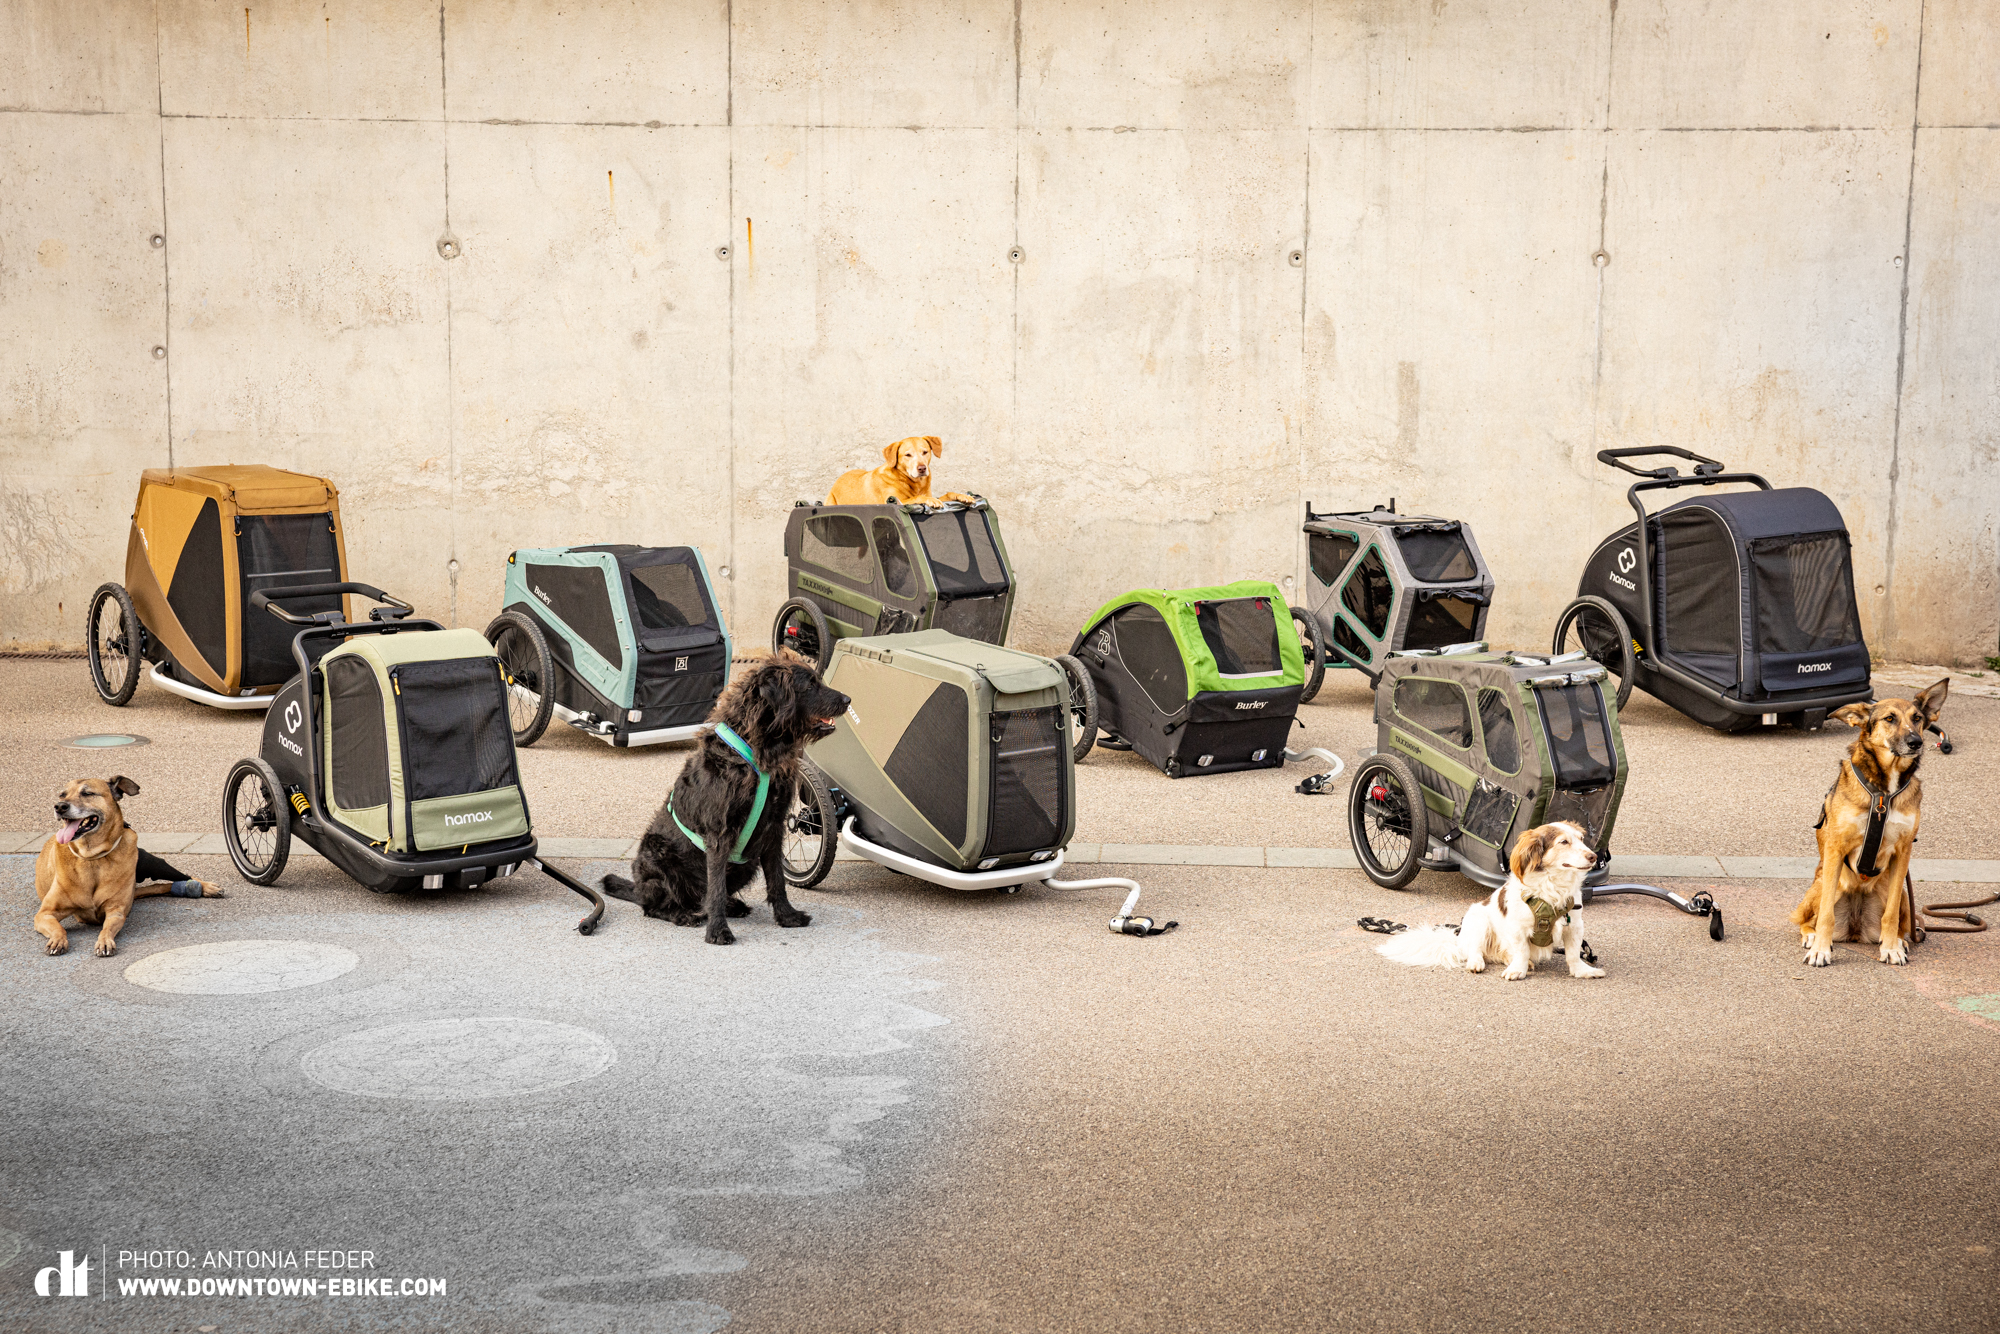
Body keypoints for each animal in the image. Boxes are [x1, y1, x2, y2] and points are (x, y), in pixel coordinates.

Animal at [34, 776, 223, 956]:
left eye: (87, 793)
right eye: (62, 795)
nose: (59, 806)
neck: (92, 858)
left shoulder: (116, 911)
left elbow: (107, 928)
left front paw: (105, 941)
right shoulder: (44, 914)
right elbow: (59, 928)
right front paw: (58, 940)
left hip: (154, 864)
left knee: (186, 877)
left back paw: (206, 887)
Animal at [592, 652, 844, 944]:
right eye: (810, 685)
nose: (848, 700)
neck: (757, 751)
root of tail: (638, 888)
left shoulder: (774, 827)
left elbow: (777, 880)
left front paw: (786, 916)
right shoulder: (719, 833)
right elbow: (716, 889)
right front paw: (718, 930)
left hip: (746, 864)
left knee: (703, 896)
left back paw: (731, 906)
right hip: (658, 856)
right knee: (657, 906)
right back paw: (682, 914)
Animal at [824, 436, 980, 508]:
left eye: (925, 452)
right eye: (907, 455)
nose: (922, 468)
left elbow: (947, 494)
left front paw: (963, 496)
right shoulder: (895, 501)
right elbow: (916, 498)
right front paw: (930, 500)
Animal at [1792, 684, 1944, 964]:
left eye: (1917, 718)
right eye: (1890, 718)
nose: (1915, 743)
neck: (1884, 791)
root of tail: (1855, 930)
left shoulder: (1903, 852)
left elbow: (1891, 915)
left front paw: (1891, 948)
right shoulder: (1836, 848)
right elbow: (1826, 915)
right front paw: (1820, 949)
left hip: (1904, 894)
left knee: (1902, 923)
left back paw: (1897, 940)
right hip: (1821, 885)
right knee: (1807, 918)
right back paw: (1811, 936)